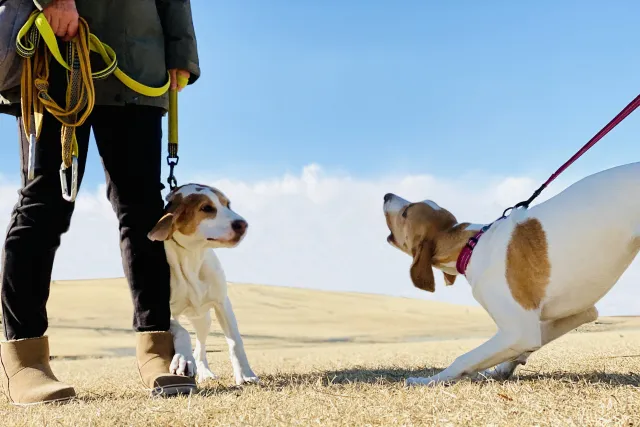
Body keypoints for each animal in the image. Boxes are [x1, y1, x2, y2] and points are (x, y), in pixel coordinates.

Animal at [149, 182, 258, 386]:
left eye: (227, 204)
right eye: (206, 208)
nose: (243, 224)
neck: (192, 256)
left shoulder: (222, 303)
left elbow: (235, 342)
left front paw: (246, 374)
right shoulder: (163, 311)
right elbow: (182, 330)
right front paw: (183, 358)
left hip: (203, 318)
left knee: (201, 343)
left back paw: (205, 371)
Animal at [382, 161, 640, 388]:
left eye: (406, 213)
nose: (386, 194)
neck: (471, 245)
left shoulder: (519, 329)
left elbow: (463, 358)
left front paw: (427, 381)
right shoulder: (578, 313)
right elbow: (530, 343)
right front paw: (502, 369)